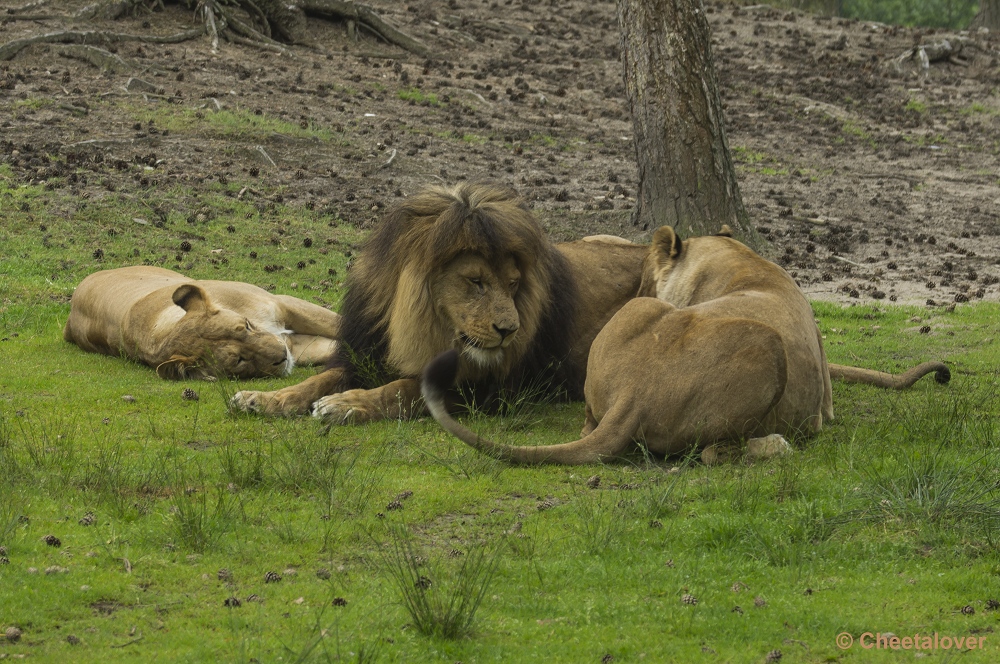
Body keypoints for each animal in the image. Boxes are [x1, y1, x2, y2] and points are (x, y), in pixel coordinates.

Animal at [229, 183, 644, 420]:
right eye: (476, 282)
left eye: (513, 284)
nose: (510, 331)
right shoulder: (364, 353)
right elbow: (316, 380)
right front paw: (264, 398)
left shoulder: (482, 390)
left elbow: (401, 389)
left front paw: (345, 405)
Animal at [418, 226, 948, 464]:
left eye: (644, 274)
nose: (636, 287)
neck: (741, 263)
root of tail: (634, 396)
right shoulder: (827, 401)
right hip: (768, 345)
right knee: (716, 453)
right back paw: (776, 445)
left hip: (636, 325)